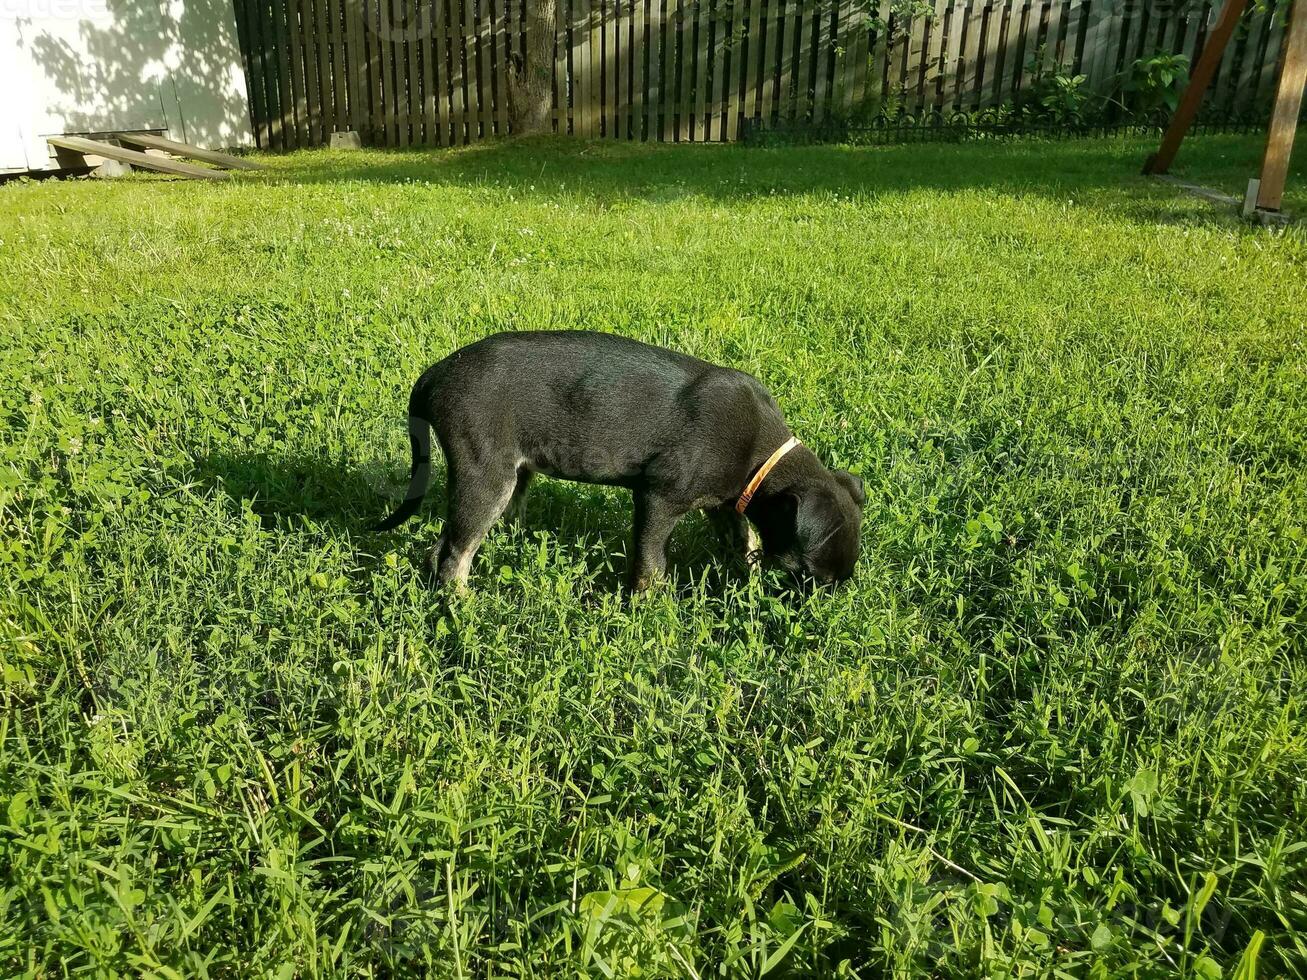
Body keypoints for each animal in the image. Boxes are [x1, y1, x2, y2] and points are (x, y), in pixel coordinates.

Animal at [373, 330, 862, 590]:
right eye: (805, 575)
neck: (762, 456)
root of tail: (434, 374)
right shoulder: (659, 498)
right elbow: (651, 564)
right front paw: (649, 608)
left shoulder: (724, 503)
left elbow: (744, 540)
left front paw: (744, 573)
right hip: (486, 474)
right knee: (453, 555)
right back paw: (463, 607)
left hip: (510, 475)